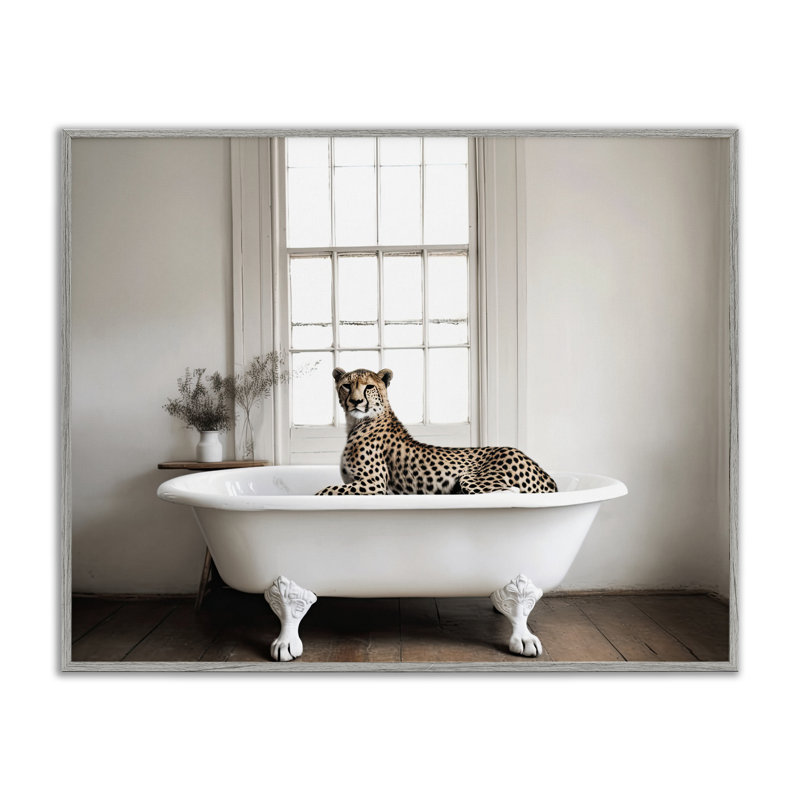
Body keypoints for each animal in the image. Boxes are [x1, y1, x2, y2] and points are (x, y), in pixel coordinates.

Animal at [315, 367, 558, 496]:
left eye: (369, 387)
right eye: (347, 386)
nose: (356, 402)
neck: (358, 422)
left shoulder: (373, 485)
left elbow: (324, 490)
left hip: (472, 478)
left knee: (506, 492)